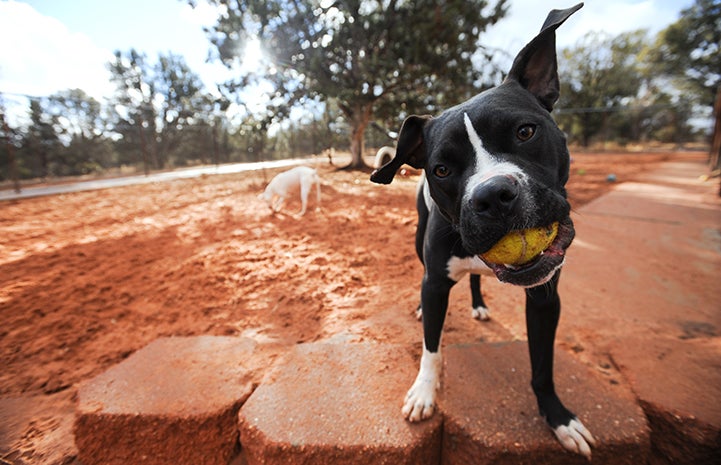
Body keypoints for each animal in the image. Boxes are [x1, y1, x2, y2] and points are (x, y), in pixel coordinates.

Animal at [368, 2, 592, 456]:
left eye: (526, 131)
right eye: (441, 169)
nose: (493, 196)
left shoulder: (546, 297)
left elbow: (542, 366)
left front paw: (558, 418)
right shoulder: (436, 282)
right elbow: (431, 347)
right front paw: (424, 391)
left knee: (474, 279)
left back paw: (478, 303)